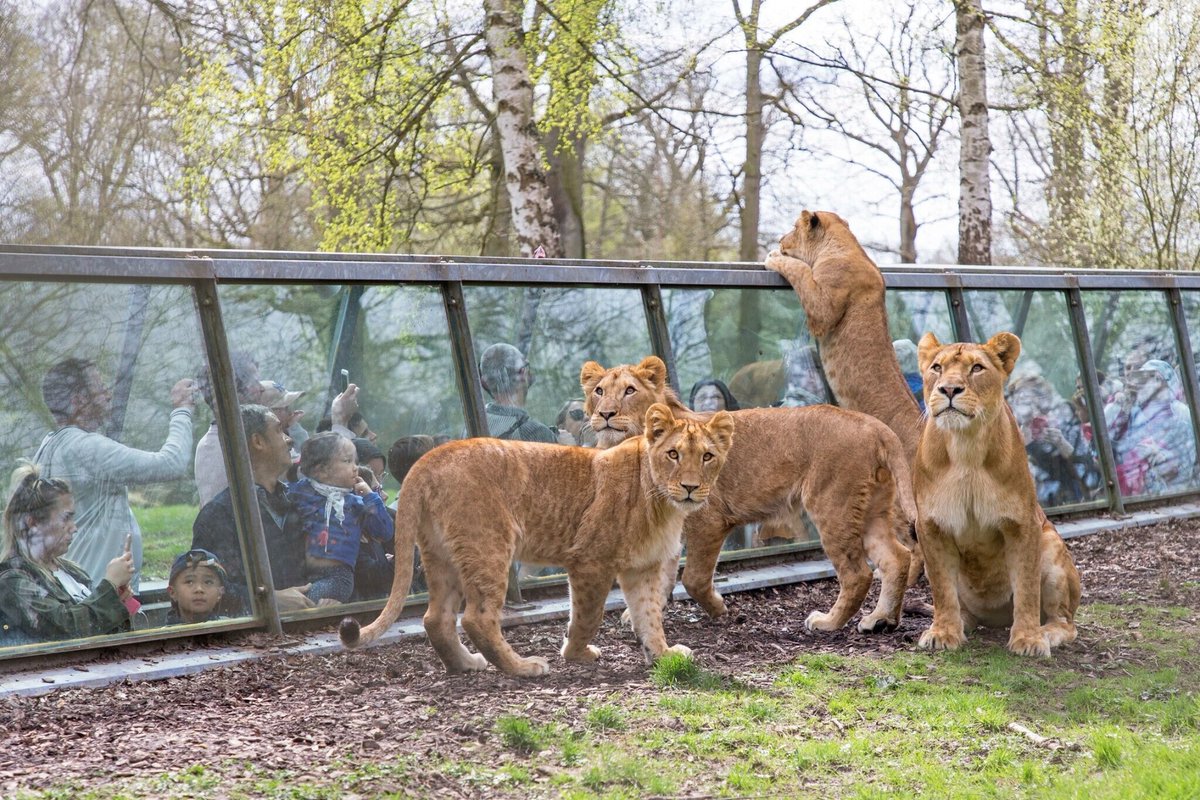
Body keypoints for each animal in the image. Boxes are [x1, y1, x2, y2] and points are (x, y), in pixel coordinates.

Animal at [339, 404, 735, 677]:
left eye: (707, 456)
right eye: (673, 454)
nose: (690, 487)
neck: (661, 503)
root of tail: (429, 458)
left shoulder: (644, 568)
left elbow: (649, 616)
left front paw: (663, 655)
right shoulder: (590, 561)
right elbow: (588, 616)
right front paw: (576, 653)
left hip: (440, 555)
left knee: (436, 618)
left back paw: (466, 664)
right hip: (490, 547)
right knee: (477, 618)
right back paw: (523, 668)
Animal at [582, 356, 917, 634]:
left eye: (629, 391)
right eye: (599, 391)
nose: (605, 413)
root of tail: (874, 425)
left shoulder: (709, 521)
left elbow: (693, 578)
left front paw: (719, 608)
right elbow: (663, 577)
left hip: (832, 506)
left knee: (858, 573)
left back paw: (828, 622)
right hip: (871, 508)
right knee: (897, 558)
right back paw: (880, 620)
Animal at [914, 332, 1080, 657]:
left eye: (977, 368)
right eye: (937, 368)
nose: (949, 389)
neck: (965, 447)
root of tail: (995, 619)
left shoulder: (1023, 523)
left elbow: (1026, 586)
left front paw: (1028, 639)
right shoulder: (930, 526)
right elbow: (942, 589)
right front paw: (943, 633)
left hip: (1051, 549)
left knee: (1066, 623)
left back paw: (1045, 632)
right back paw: (960, 622)